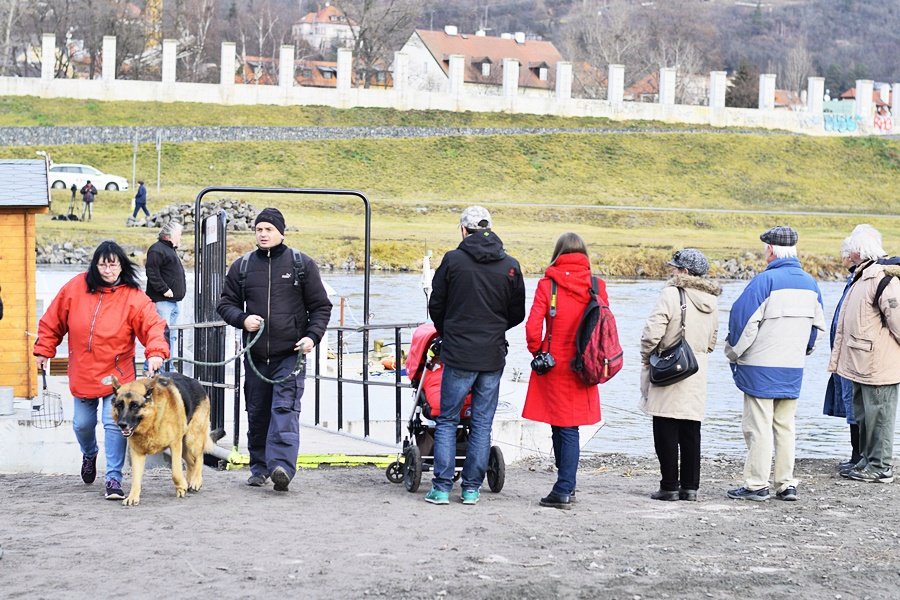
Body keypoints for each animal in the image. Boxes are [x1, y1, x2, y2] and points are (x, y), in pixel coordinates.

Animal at [108, 372, 214, 504]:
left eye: (135, 406)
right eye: (119, 405)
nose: (122, 424)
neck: (152, 420)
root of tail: (196, 382)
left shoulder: (175, 445)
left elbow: (175, 472)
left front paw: (181, 487)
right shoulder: (137, 453)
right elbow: (136, 479)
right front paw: (132, 497)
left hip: (192, 440)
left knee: (199, 457)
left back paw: (196, 481)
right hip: (185, 447)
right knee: (191, 462)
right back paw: (189, 481)